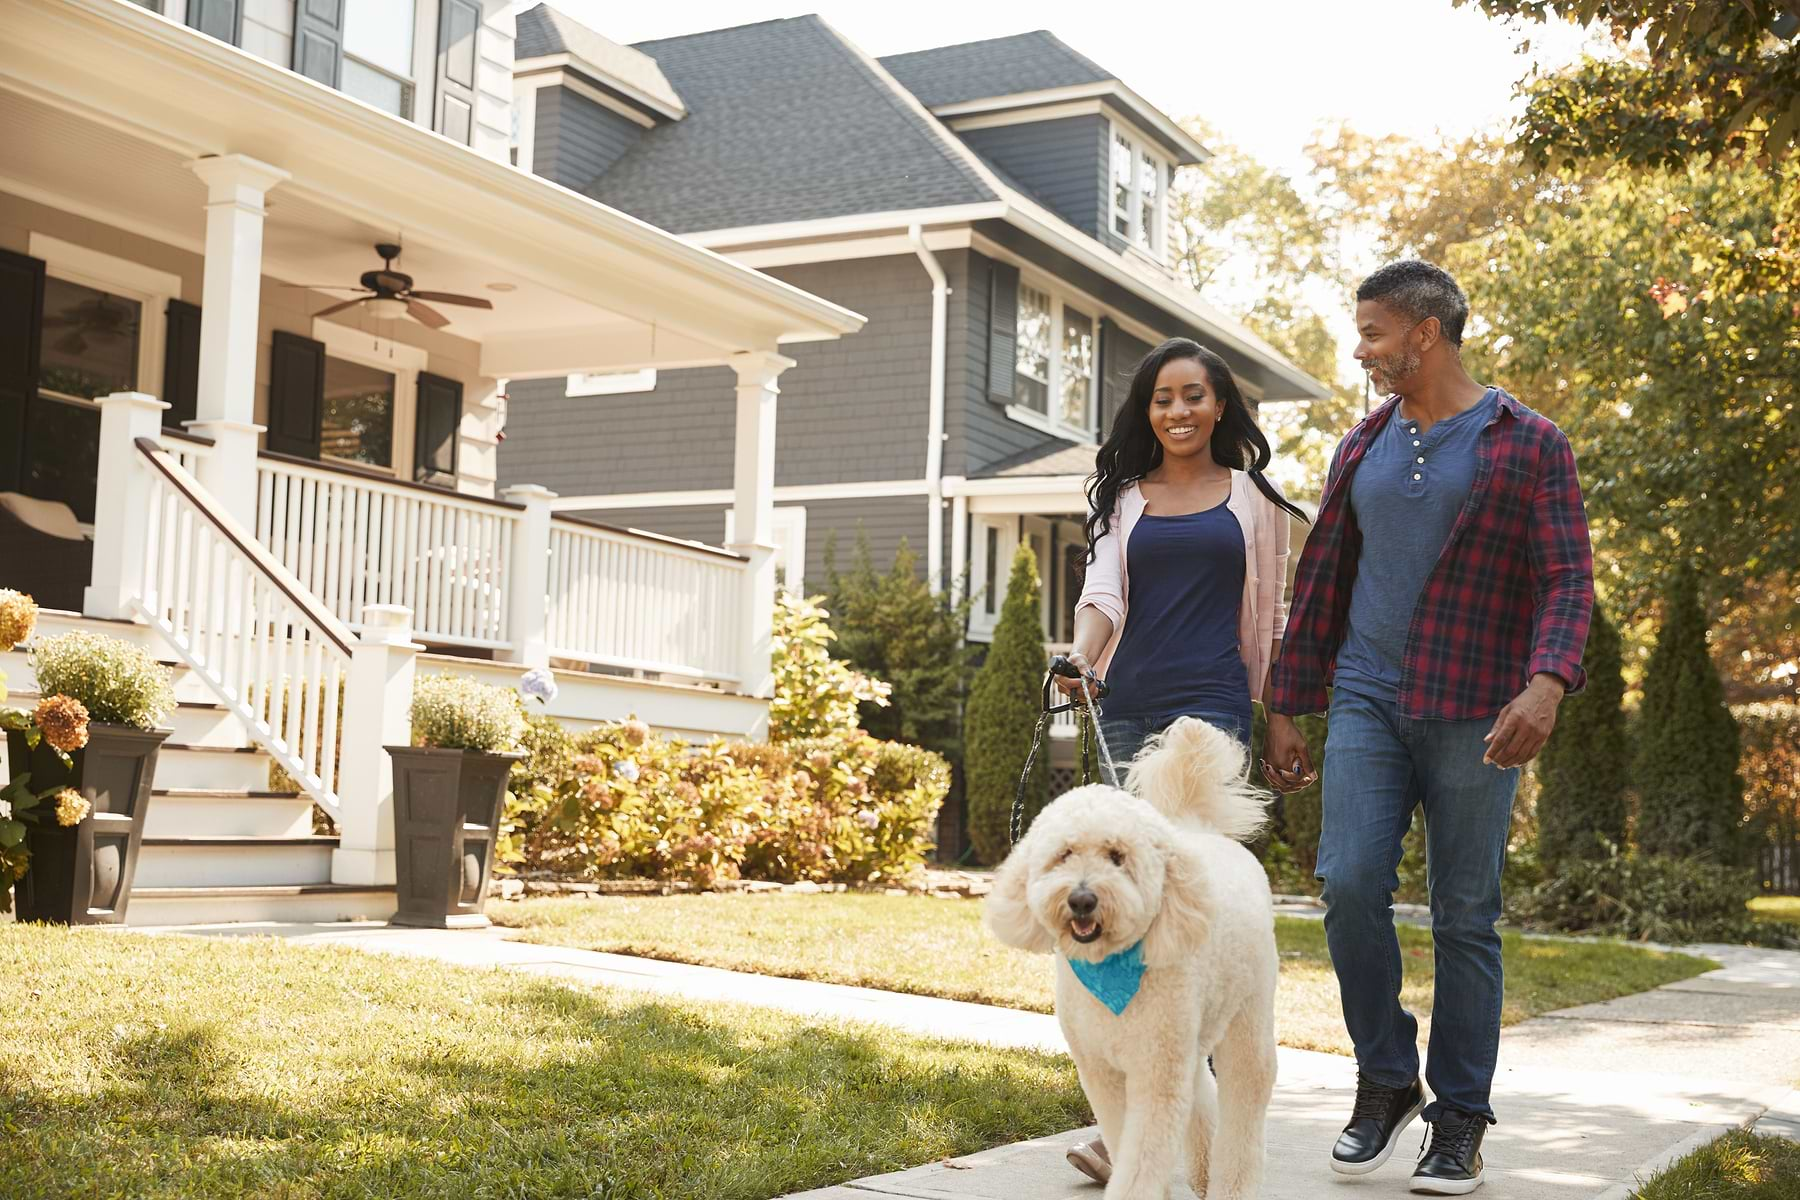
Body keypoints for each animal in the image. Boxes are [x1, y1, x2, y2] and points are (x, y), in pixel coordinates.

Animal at [986, 719, 1281, 1194]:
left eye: (1117, 856)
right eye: (1064, 854)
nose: (1082, 899)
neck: (1109, 969)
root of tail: (1199, 829)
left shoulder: (1154, 1073)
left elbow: (1143, 1156)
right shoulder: (1102, 1071)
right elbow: (1124, 1138)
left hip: (1246, 1015)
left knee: (1246, 1094)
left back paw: (1230, 1185)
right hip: (1190, 1033)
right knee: (1201, 1087)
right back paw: (1202, 1172)